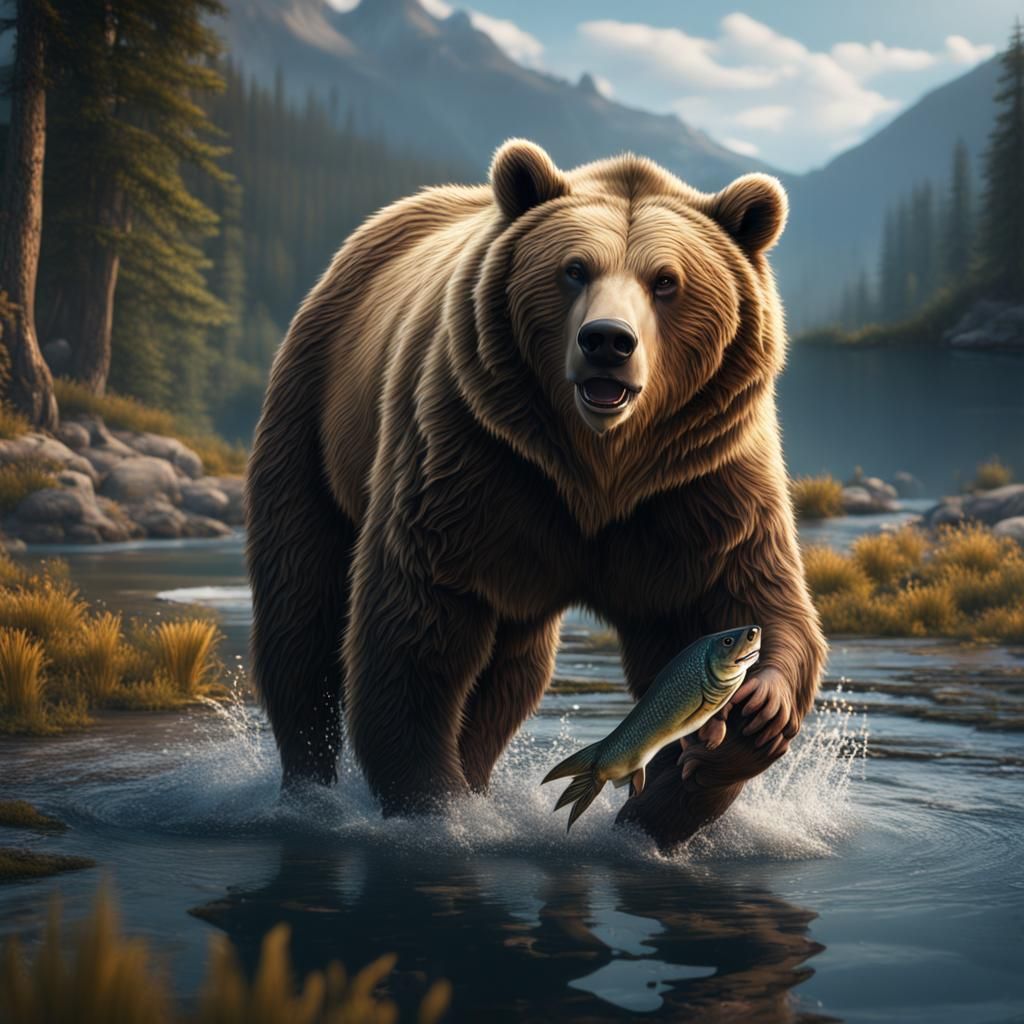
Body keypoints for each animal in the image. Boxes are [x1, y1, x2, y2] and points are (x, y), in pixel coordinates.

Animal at [245, 138, 827, 849]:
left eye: (666, 280)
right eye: (574, 269)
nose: (607, 340)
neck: (599, 465)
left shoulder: (699, 482)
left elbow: (747, 590)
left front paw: (733, 736)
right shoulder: (474, 459)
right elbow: (415, 623)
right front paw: (430, 805)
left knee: (509, 676)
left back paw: (479, 776)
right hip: (315, 414)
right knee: (301, 606)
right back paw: (311, 789)